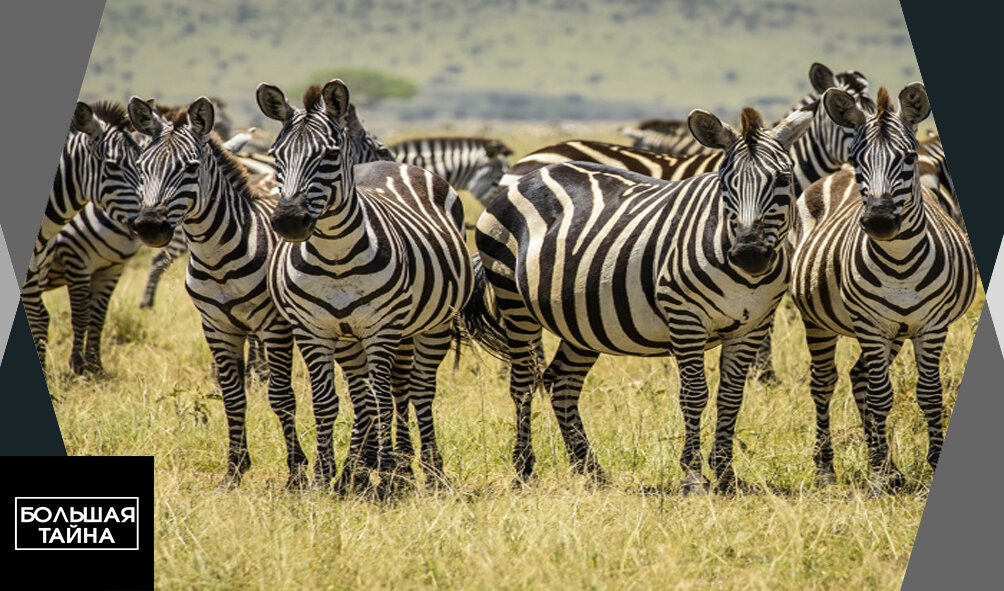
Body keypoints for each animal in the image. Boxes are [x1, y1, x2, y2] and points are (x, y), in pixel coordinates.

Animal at [23, 101, 142, 369]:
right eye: (112, 165)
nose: (152, 225)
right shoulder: (76, 259)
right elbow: (81, 315)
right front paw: (78, 365)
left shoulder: (112, 269)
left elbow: (97, 316)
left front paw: (95, 366)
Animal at [128, 94, 309, 487]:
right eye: (141, 166)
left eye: (190, 168)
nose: (149, 227)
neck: (218, 257)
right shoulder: (216, 327)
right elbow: (232, 397)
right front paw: (235, 469)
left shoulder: (274, 325)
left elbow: (281, 396)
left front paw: (297, 472)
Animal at [259, 78, 477, 493]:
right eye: (275, 155)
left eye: (329, 155)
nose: (289, 221)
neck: (335, 256)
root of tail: (390, 162)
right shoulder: (312, 329)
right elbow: (328, 402)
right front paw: (324, 476)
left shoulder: (382, 327)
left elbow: (382, 401)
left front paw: (389, 479)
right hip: (352, 338)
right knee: (368, 396)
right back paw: (356, 473)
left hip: (433, 325)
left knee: (417, 390)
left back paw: (427, 471)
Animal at [471, 104, 815, 487]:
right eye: (725, 184)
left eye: (783, 179)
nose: (750, 254)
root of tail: (530, 174)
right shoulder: (685, 317)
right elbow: (694, 395)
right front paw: (693, 475)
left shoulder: (752, 326)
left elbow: (731, 396)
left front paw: (726, 474)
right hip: (514, 302)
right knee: (523, 383)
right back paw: (524, 469)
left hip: (582, 319)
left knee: (561, 382)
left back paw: (590, 470)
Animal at [787, 85, 975, 491]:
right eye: (858, 158)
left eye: (907, 157)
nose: (879, 221)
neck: (900, 261)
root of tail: (834, 175)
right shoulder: (871, 326)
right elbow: (880, 397)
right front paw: (875, 476)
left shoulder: (931, 326)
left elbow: (929, 393)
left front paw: (928, 463)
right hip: (819, 320)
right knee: (824, 383)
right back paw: (827, 468)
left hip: (897, 332)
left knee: (858, 377)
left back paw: (890, 466)